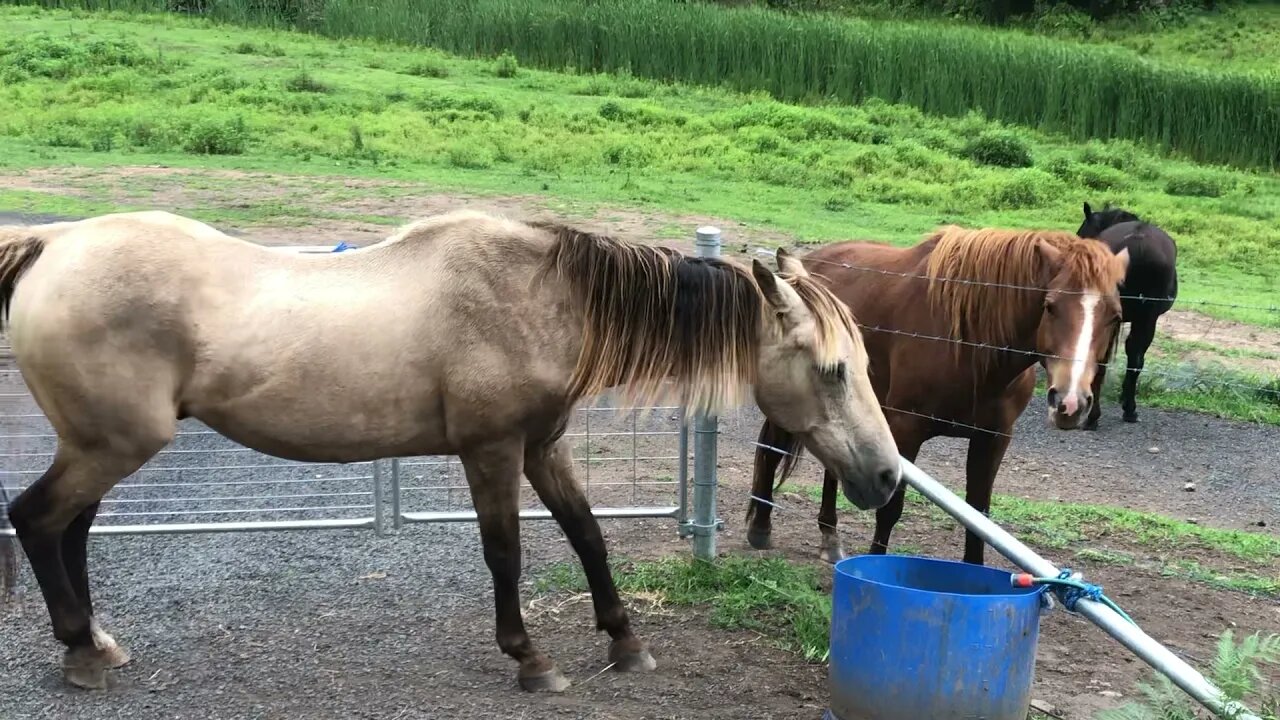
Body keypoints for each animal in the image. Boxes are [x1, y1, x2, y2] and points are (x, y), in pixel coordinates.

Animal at [0, 208, 901, 691]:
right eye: (832, 370)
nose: (887, 478)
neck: (540, 299)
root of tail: (53, 244)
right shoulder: (491, 450)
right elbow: (505, 551)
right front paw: (531, 659)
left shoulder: (544, 447)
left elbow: (588, 536)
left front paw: (624, 640)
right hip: (113, 444)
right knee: (37, 519)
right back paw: (79, 651)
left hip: (103, 445)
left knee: (72, 528)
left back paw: (98, 643)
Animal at [747, 226, 1126, 563]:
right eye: (1050, 306)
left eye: (1115, 316)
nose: (1071, 403)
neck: (969, 347)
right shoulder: (906, 429)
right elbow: (891, 509)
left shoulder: (993, 438)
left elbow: (979, 516)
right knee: (771, 449)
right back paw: (761, 529)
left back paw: (830, 537)